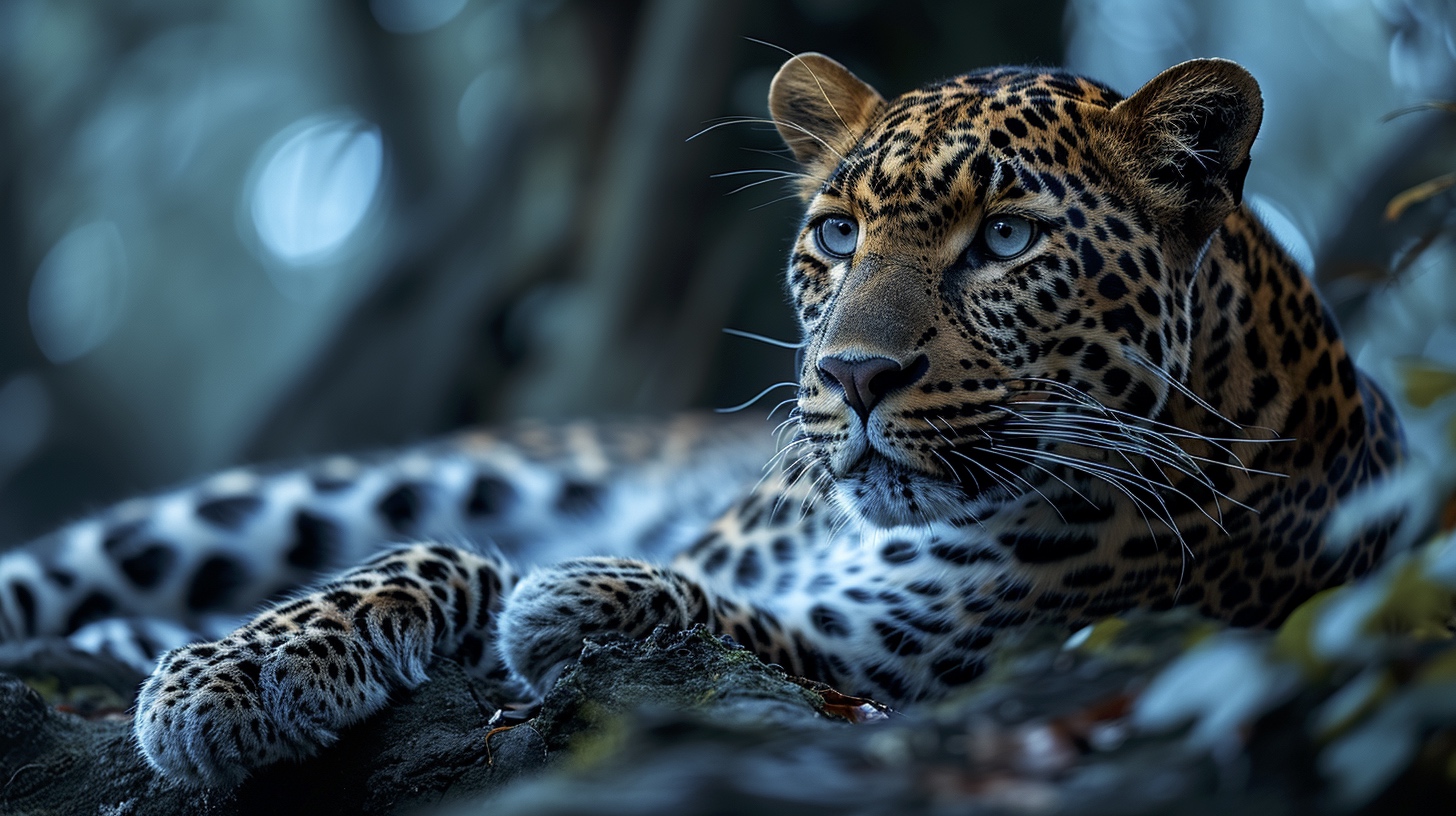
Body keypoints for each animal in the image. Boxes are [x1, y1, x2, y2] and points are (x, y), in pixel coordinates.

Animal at [0, 53, 1405, 788]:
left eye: (1007, 240)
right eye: (836, 235)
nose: (853, 377)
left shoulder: (917, 661)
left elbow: (625, 603)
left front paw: (569, 601)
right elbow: (449, 559)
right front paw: (240, 671)